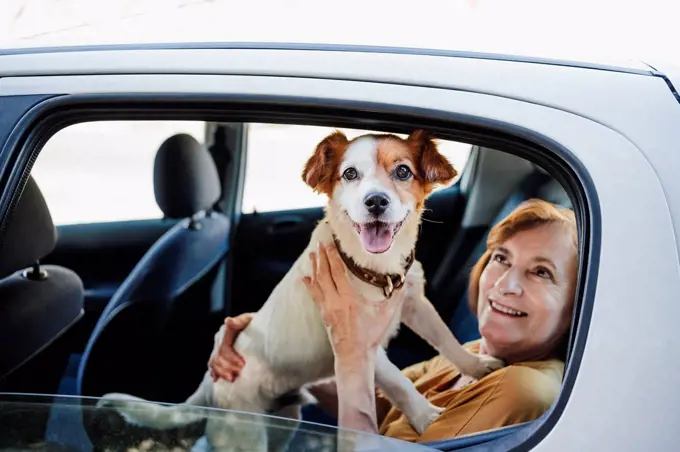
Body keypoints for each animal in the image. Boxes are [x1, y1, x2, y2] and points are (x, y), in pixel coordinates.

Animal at [99, 129, 504, 450]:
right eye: (350, 174)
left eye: (402, 171)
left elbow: (447, 340)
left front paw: (477, 366)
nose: (376, 202)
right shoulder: (360, 340)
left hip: (286, 419)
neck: (373, 271)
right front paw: (426, 416)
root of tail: (210, 387)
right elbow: (400, 382)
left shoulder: (415, 302)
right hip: (246, 435)